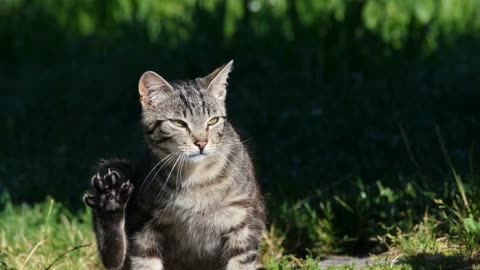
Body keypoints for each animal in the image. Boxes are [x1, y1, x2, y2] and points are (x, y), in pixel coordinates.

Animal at [85, 61, 268, 270]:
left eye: (213, 120)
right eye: (178, 123)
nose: (202, 143)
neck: (196, 177)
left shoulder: (245, 222)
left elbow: (240, 262)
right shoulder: (143, 225)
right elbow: (143, 262)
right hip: (113, 168)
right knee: (114, 258)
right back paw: (110, 200)